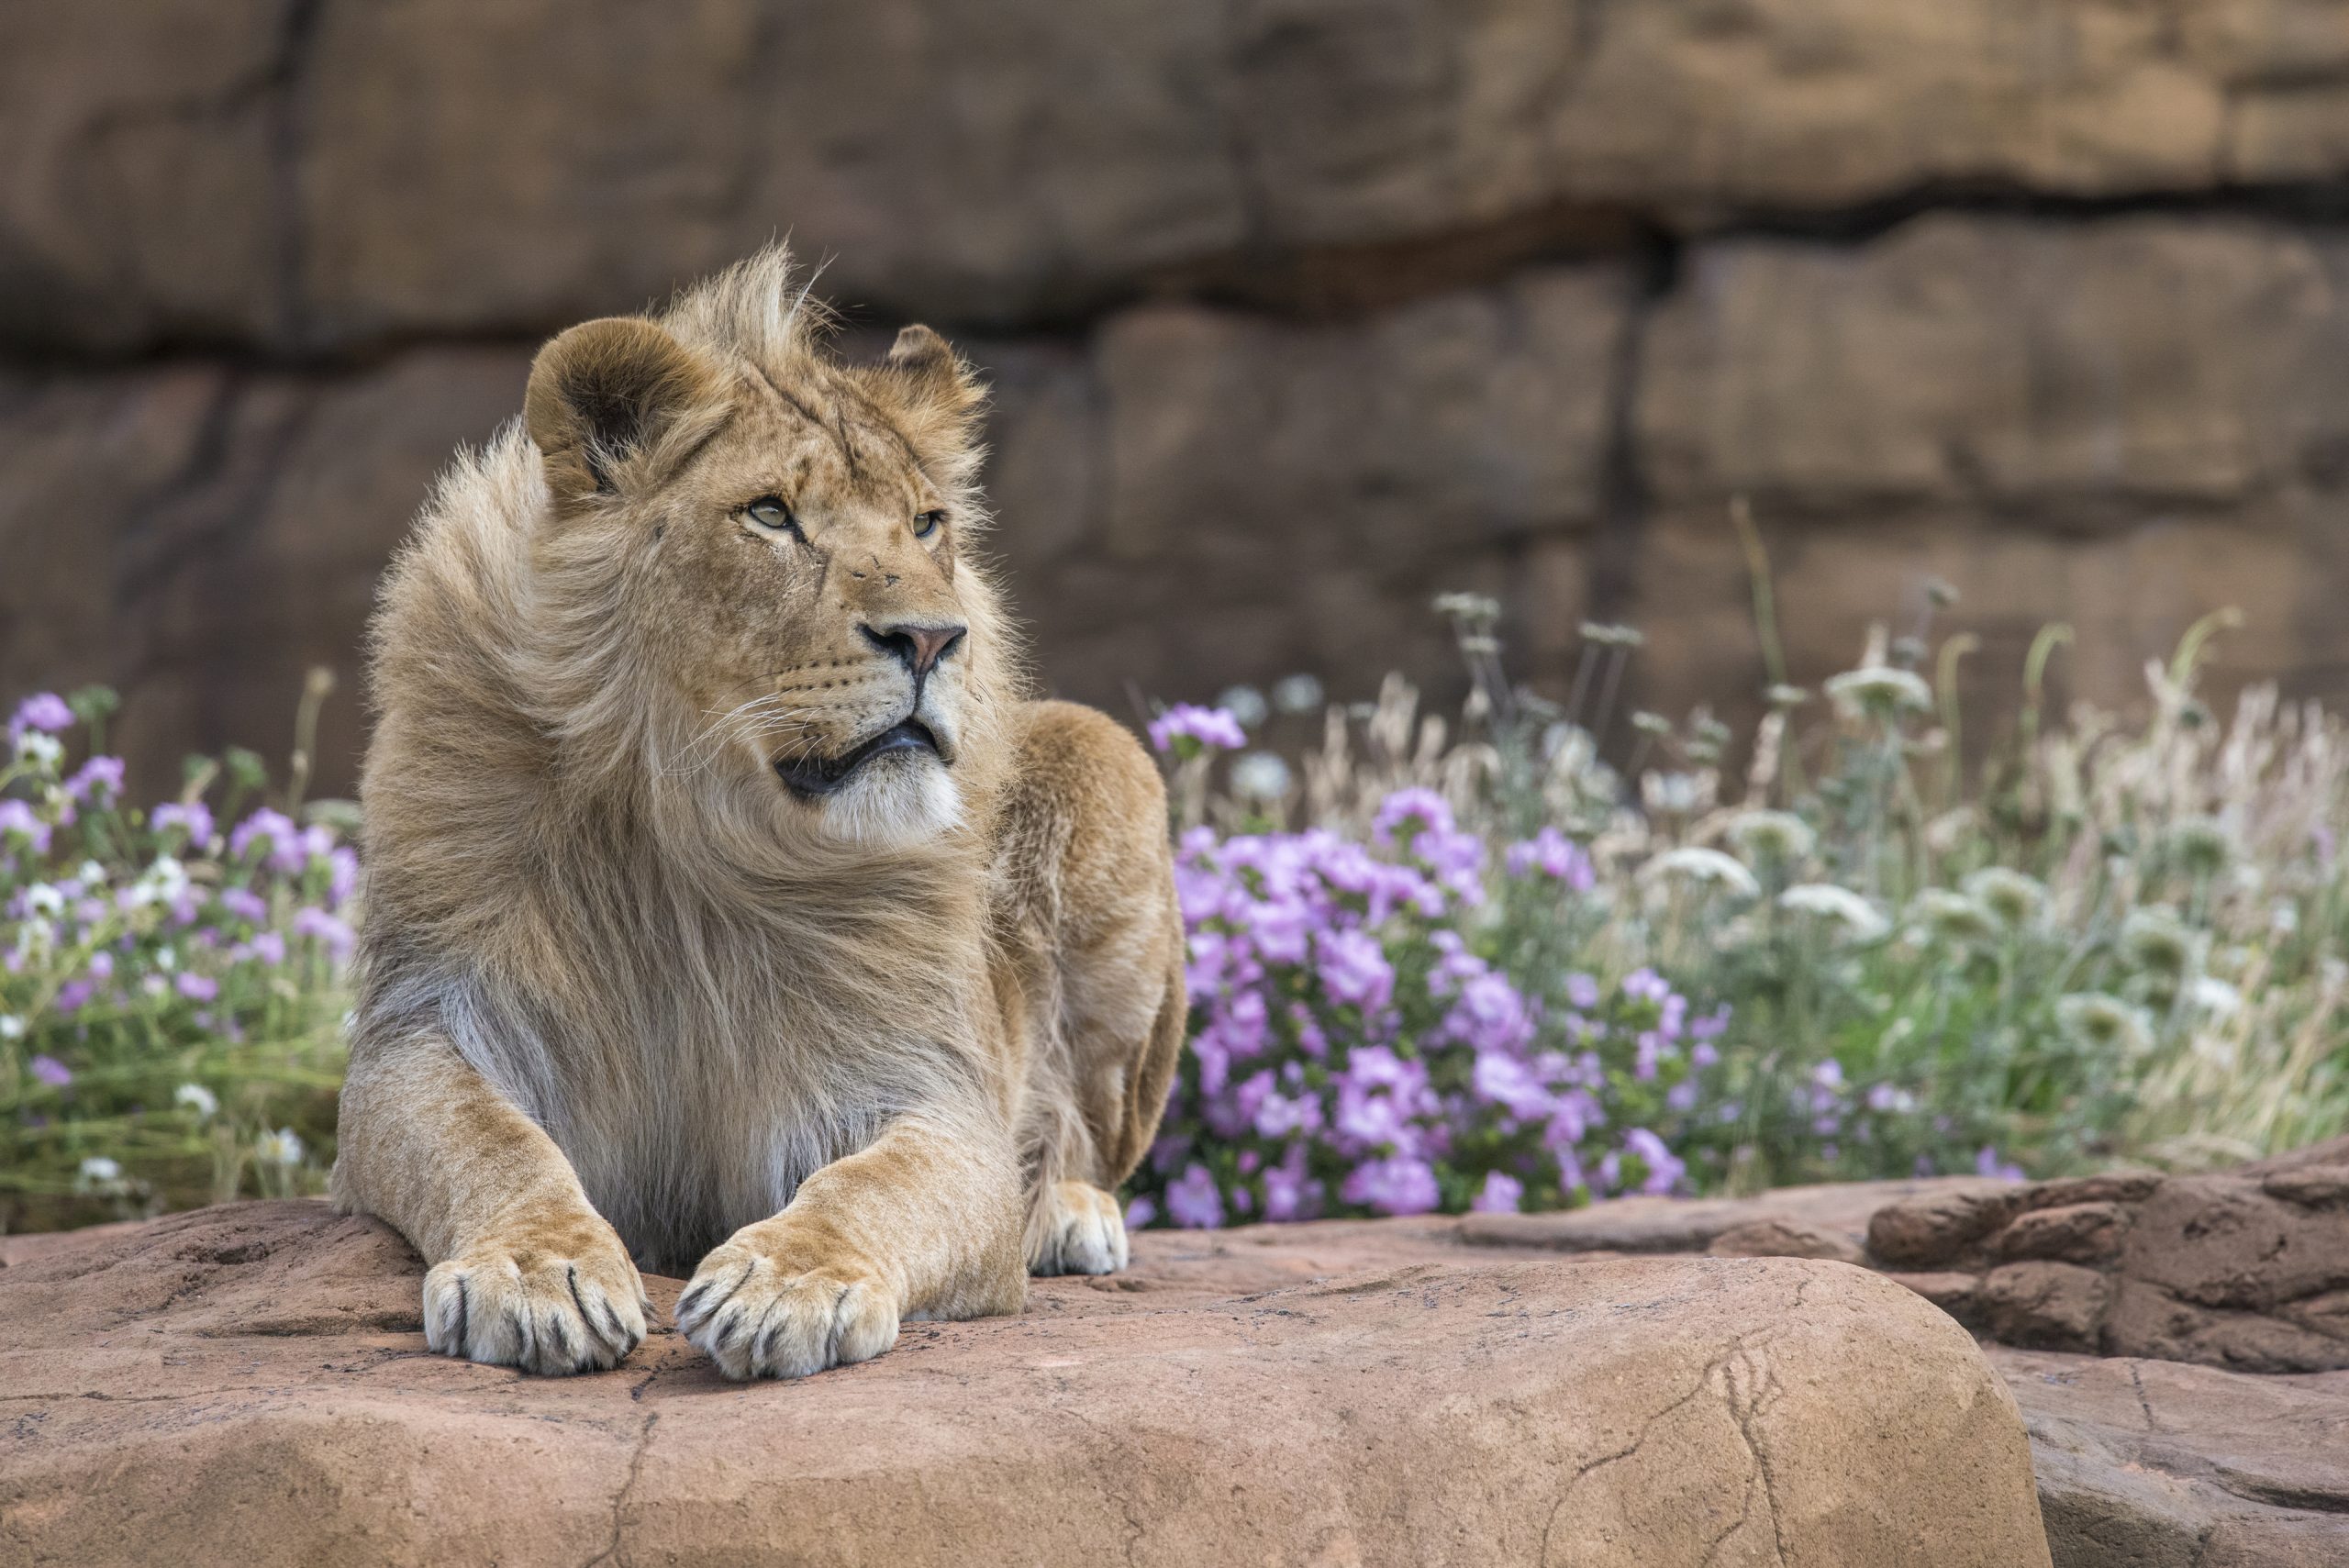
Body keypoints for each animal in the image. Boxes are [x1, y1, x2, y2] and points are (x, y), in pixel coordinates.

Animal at [329, 248, 1187, 1380]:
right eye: (772, 514)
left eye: (926, 524)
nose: (932, 637)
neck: (697, 839)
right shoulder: (424, 1023)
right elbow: (489, 1141)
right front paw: (538, 1270)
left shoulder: (931, 1086)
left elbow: (873, 1183)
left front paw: (791, 1281)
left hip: (1105, 757)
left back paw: (1069, 1213)